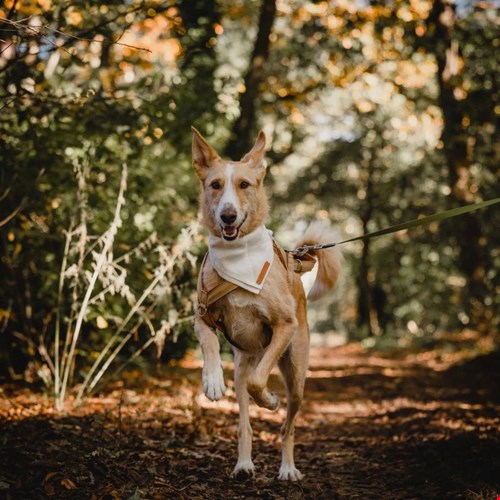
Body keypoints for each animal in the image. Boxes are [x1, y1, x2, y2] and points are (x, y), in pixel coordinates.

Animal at [192, 128, 344, 480]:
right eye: (215, 185)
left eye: (245, 185)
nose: (228, 215)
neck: (238, 259)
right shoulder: (201, 315)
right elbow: (209, 343)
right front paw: (212, 381)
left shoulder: (284, 326)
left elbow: (261, 382)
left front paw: (271, 401)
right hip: (241, 367)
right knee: (245, 421)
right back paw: (244, 463)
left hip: (296, 375)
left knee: (287, 426)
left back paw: (287, 467)